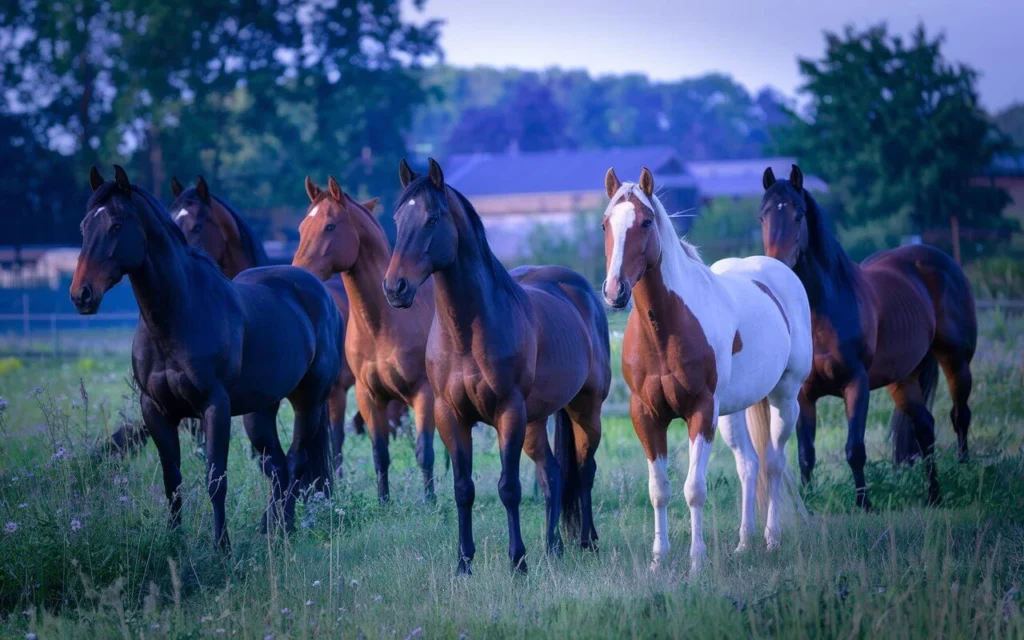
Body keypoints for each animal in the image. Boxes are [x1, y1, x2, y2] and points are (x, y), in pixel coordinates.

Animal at [74, 165, 344, 548]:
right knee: (276, 466)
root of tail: (318, 291)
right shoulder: (156, 410)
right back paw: (271, 527)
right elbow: (172, 481)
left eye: (115, 225)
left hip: (309, 400)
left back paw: (285, 529)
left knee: (295, 462)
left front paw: (222, 547)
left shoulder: (214, 407)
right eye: (84, 227)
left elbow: (216, 479)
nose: (82, 294)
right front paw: (174, 542)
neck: (178, 317)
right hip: (260, 411)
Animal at [292, 176, 432, 503]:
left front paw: (431, 502)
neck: (383, 326)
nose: (297, 273)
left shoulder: (423, 394)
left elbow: (424, 453)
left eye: (330, 226)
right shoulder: (369, 396)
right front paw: (383, 503)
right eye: (302, 227)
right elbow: (380, 453)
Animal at [382, 155, 606, 573]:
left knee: (584, 472)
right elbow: (463, 489)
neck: (467, 333)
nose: (395, 288)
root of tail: (580, 290)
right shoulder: (450, 416)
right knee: (552, 473)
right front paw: (463, 563)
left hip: (585, 409)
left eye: (432, 218)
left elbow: (509, 488)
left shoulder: (508, 413)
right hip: (536, 421)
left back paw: (587, 542)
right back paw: (553, 547)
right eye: (397, 219)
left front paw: (517, 561)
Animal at [602, 166, 811, 573]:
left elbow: (694, 489)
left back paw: (771, 539)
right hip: (733, 411)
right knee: (748, 465)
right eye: (606, 223)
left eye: (646, 222)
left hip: (784, 398)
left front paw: (697, 560)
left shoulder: (700, 411)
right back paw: (744, 543)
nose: (614, 291)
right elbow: (659, 490)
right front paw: (658, 560)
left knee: (774, 464)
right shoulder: (646, 416)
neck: (666, 328)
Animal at [761, 164, 974, 509]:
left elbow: (854, 449)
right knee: (925, 428)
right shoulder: (804, 394)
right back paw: (934, 496)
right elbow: (806, 454)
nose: (777, 269)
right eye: (763, 216)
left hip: (956, 361)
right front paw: (809, 501)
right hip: (903, 380)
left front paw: (864, 504)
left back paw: (965, 471)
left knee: (960, 415)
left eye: (798, 214)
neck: (824, 311)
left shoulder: (856, 384)